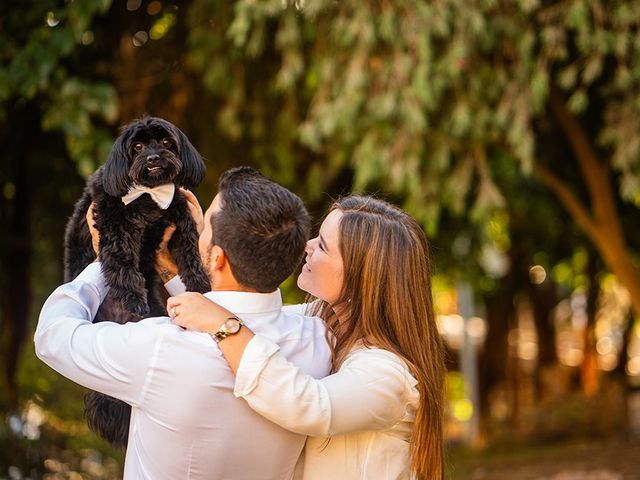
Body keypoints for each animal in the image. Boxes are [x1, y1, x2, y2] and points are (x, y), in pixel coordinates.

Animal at [64, 116, 210, 450]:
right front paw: (133, 298)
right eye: (139, 147)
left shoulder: (178, 217)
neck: (150, 195)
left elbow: (191, 253)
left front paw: (201, 286)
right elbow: (123, 264)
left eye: (167, 142)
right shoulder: (115, 222)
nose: (154, 158)